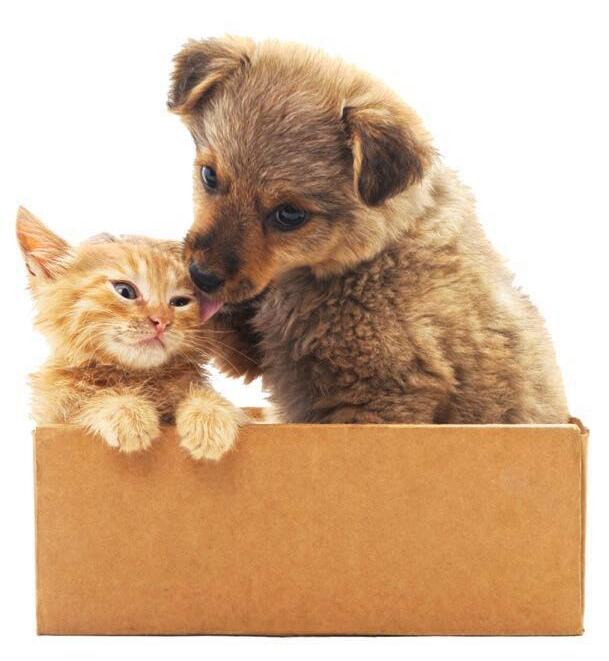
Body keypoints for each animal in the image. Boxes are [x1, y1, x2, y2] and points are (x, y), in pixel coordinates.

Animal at [17, 206, 245, 460]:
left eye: (180, 302)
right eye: (125, 291)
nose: (161, 322)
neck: (135, 377)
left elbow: (203, 395)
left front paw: (210, 414)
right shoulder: (53, 413)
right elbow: (87, 400)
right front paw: (126, 409)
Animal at [168, 36, 569, 424]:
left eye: (289, 215)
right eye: (209, 176)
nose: (201, 276)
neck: (375, 256)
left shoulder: (378, 397)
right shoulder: (260, 347)